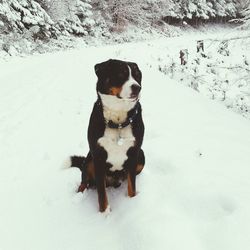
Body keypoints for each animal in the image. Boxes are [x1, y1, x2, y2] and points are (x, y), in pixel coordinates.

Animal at [71, 59, 145, 213]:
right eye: (121, 74)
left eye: (137, 76)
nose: (137, 87)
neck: (117, 122)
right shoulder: (98, 156)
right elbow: (101, 194)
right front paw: (105, 213)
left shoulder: (134, 153)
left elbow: (132, 187)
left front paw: (132, 203)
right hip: (89, 159)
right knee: (84, 180)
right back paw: (79, 194)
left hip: (141, 156)